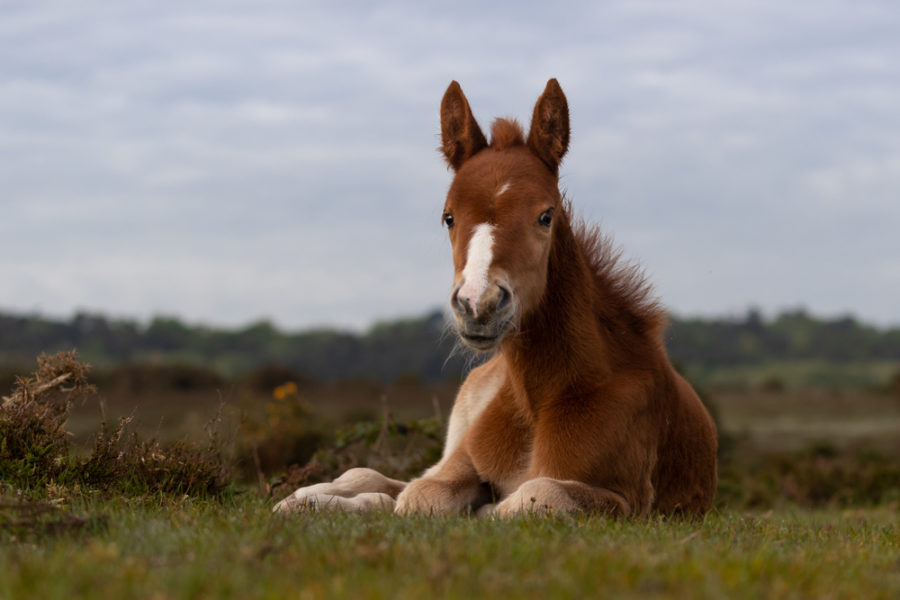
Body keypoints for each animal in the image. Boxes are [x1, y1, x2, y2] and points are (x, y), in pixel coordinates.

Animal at [274, 79, 718, 518]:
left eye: (546, 215)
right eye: (448, 217)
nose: (478, 304)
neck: (543, 400)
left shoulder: (627, 500)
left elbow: (531, 495)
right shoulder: (461, 465)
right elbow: (418, 497)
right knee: (384, 479)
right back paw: (303, 497)